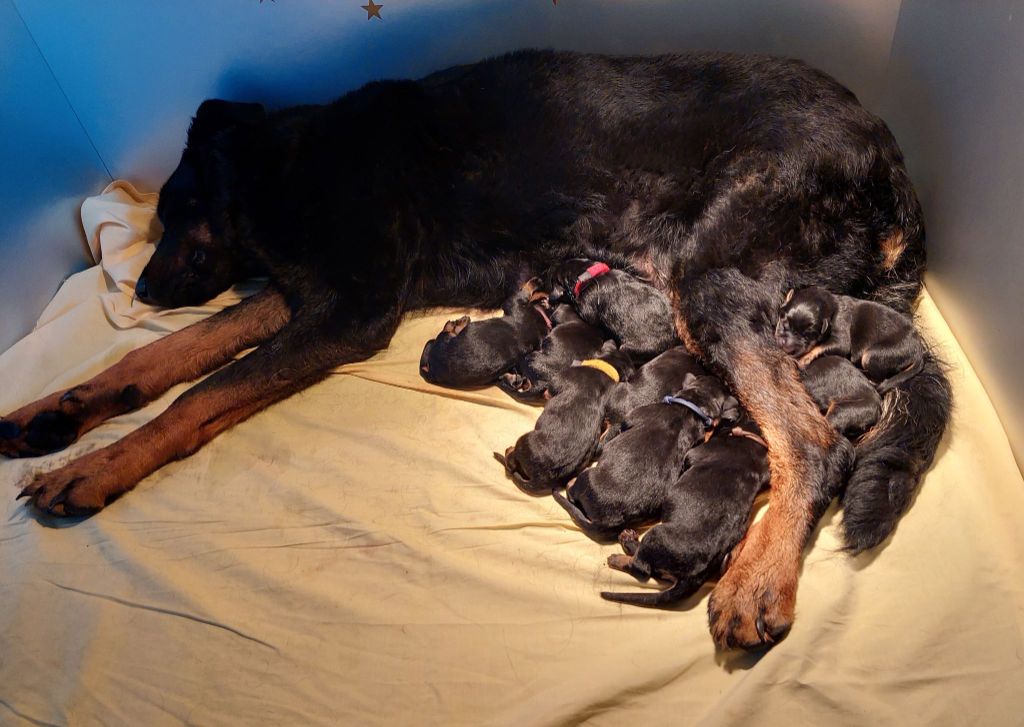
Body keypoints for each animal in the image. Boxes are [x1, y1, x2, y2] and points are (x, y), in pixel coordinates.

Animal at [419, 279, 551, 388]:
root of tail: (431, 370)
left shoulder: (515, 303)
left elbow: (525, 290)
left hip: (443, 341)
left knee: (446, 331)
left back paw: (460, 322)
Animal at [499, 343, 633, 494]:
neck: (605, 368)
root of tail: (542, 479)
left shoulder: (554, 385)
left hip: (524, 441)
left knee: (511, 462)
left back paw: (509, 451)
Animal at [601, 416, 770, 608]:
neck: (751, 437)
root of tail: (693, 577)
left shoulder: (694, 453)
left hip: (656, 535)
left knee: (641, 568)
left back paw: (623, 547)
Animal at [776, 286, 925, 392]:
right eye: (783, 323)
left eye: (807, 336)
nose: (786, 346)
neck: (833, 307)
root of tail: (919, 352)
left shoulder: (841, 341)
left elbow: (819, 347)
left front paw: (804, 358)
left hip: (873, 355)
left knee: (878, 378)